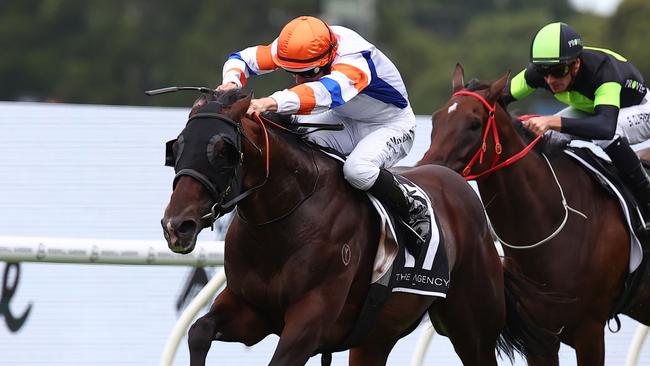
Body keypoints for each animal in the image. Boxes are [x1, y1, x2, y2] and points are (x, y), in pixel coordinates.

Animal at [158, 88, 548, 366]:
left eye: (222, 150)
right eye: (177, 147)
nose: (177, 225)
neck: (284, 220)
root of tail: (457, 184)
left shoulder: (309, 321)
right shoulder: (251, 309)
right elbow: (198, 331)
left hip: (473, 328)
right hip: (376, 337)